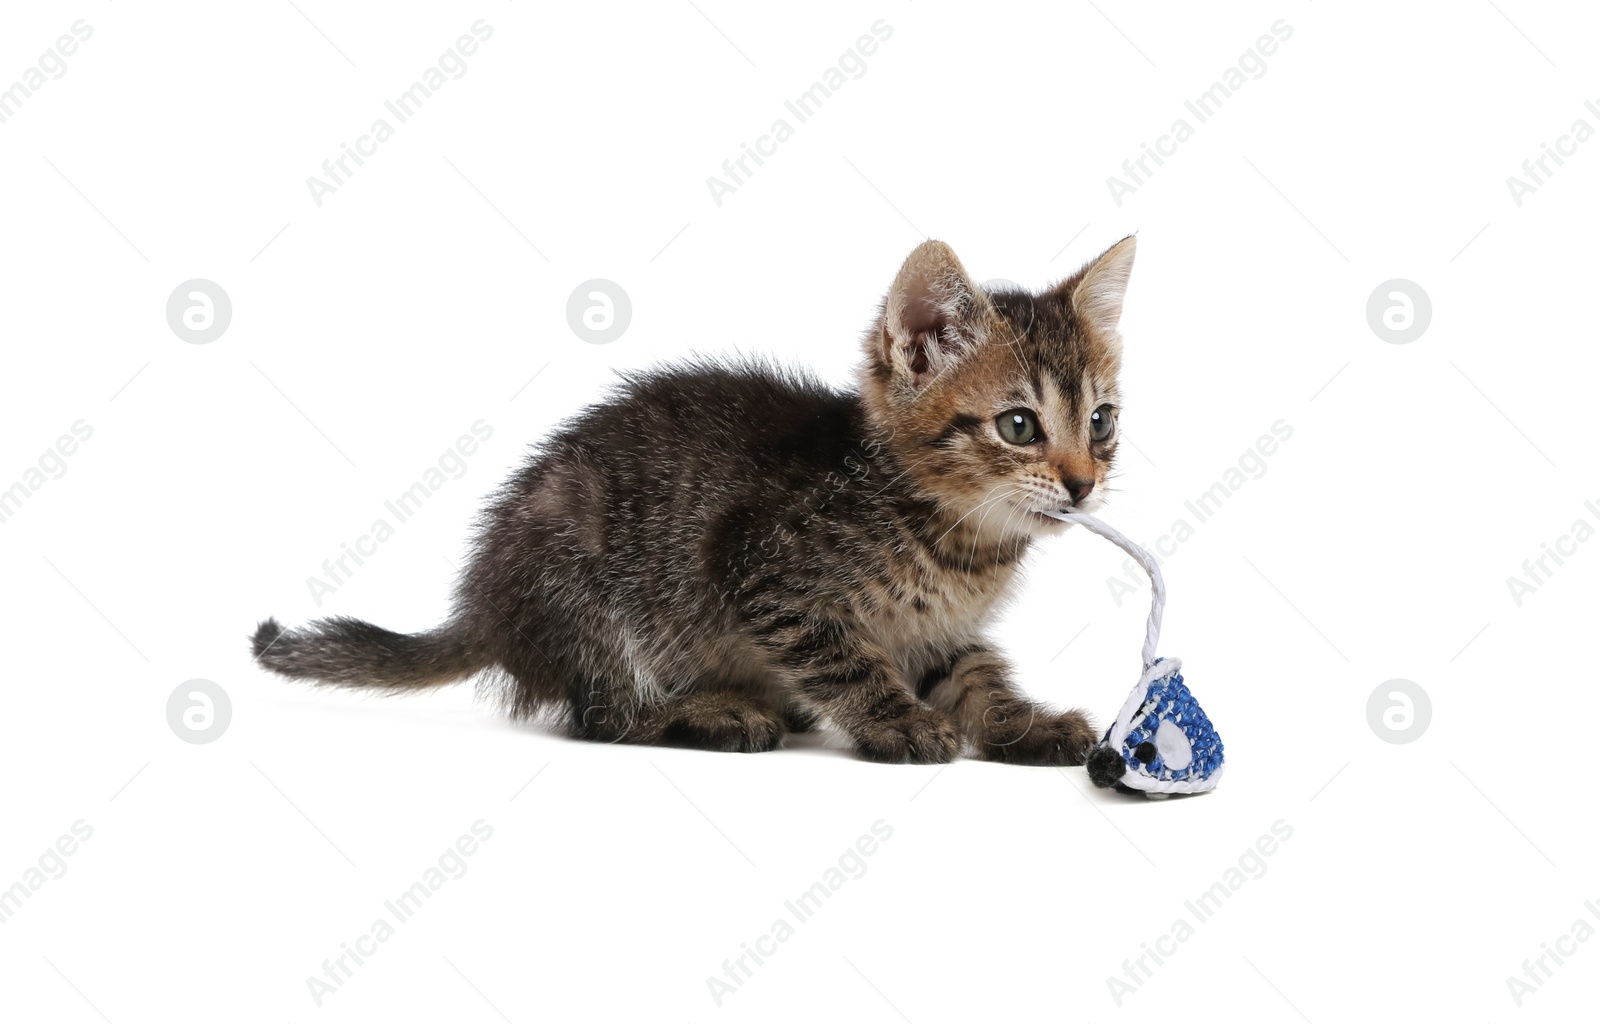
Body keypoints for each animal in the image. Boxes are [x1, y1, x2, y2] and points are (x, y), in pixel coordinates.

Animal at [252, 236, 1139, 764]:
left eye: (1100, 422)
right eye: (1019, 425)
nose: (1083, 483)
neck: (956, 539)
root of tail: (489, 611)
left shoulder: (939, 630)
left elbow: (975, 675)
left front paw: (1023, 723)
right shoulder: (766, 571)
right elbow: (847, 658)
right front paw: (901, 721)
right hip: (584, 586)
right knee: (603, 714)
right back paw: (713, 713)